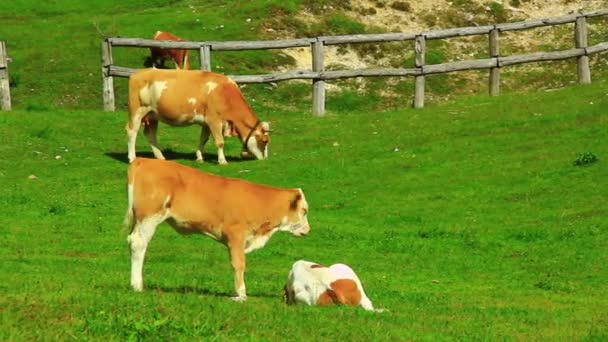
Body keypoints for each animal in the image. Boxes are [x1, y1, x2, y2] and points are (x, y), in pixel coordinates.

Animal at [125, 156, 312, 300]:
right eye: (304, 210)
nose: (308, 230)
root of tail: (144, 160)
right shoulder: (236, 235)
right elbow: (239, 263)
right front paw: (241, 294)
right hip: (149, 217)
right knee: (138, 244)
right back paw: (137, 285)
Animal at [126, 68, 270, 164]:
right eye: (264, 141)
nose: (264, 159)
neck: (225, 94)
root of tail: (138, 72)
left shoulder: (206, 122)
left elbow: (203, 139)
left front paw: (200, 157)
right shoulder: (214, 120)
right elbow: (220, 142)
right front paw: (222, 160)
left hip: (153, 115)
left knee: (150, 134)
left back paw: (161, 157)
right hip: (137, 111)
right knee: (132, 131)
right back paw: (132, 157)